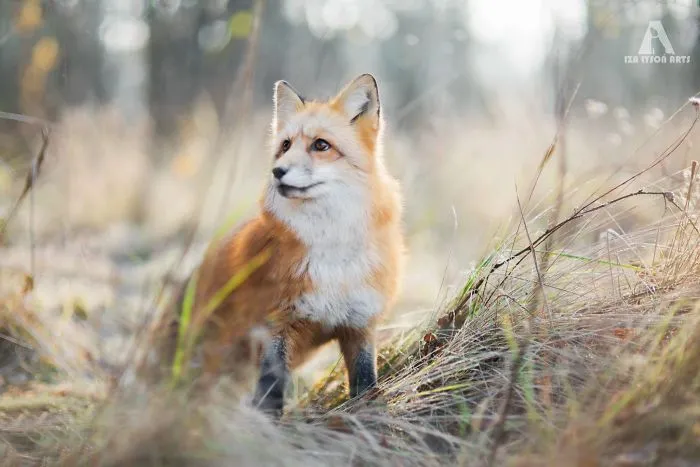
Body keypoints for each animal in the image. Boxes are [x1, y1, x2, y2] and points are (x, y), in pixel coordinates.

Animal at [159, 73, 404, 416]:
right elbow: (271, 390)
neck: (331, 253)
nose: (277, 172)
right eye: (285, 146)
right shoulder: (276, 322)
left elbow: (365, 382)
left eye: (321, 145)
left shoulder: (360, 324)